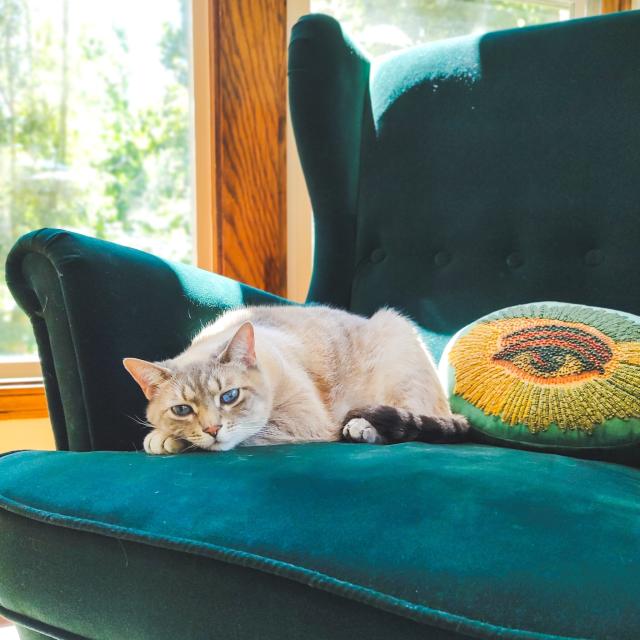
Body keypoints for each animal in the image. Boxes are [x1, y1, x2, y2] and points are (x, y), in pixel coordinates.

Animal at [122, 304, 468, 456]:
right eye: (182, 410)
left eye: (229, 397)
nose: (212, 429)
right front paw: (165, 436)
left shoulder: (302, 420)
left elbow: (248, 433)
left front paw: (164, 439)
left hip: (395, 348)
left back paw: (361, 428)